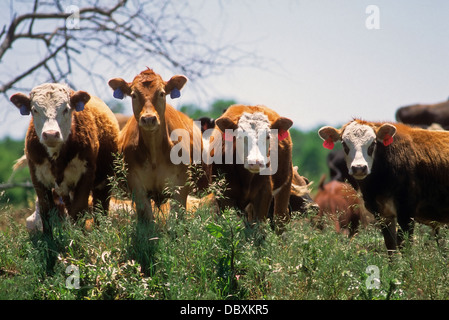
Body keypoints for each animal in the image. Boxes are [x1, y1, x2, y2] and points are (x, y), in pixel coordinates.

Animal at [107, 67, 209, 222]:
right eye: (133, 95)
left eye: (161, 93)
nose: (149, 119)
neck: (155, 153)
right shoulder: (137, 186)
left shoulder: (180, 186)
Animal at [318, 119, 449, 254]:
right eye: (344, 144)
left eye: (373, 143)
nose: (359, 168)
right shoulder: (384, 215)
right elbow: (391, 246)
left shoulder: (406, 213)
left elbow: (404, 247)